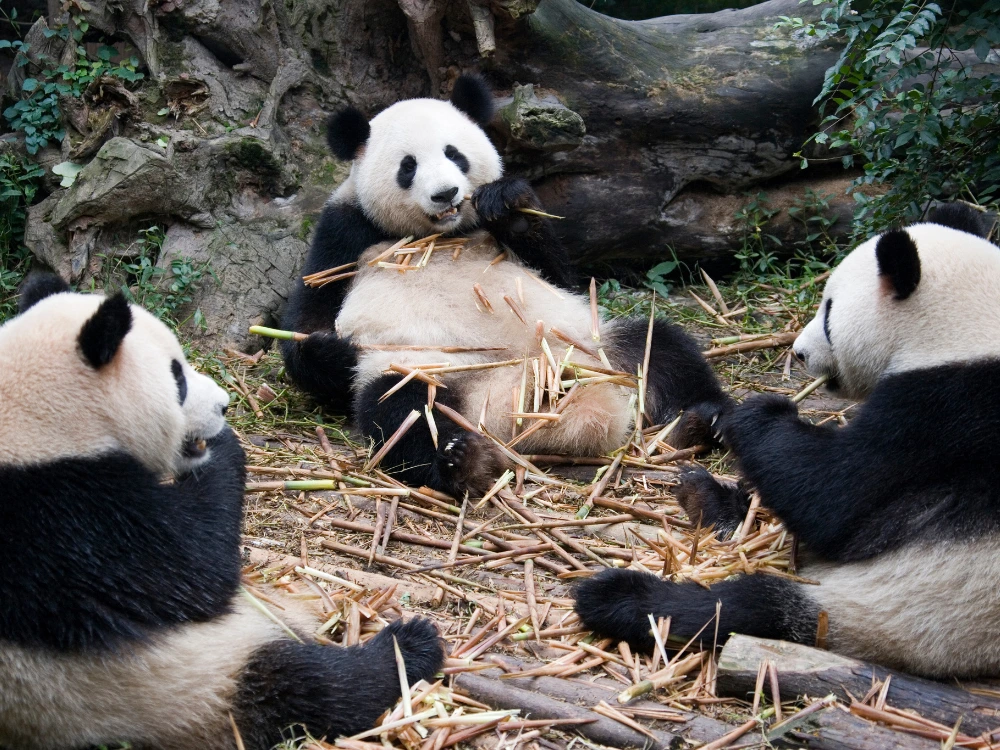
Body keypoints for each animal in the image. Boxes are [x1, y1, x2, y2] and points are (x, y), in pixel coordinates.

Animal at [0, 274, 443, 750]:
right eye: (176, 376)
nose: (225, 404)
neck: (38, 422)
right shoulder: (63, 520)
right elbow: (191, 570)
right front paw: (224, 447)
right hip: (180, 686)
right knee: (308, 688)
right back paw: (408, 647)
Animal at [280, 74, 728, 496]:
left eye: (454, 154)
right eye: (408, 166)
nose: (446, 194)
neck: (443, 235)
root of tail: (519, 404)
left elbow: (560, 274)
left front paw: (509, 206)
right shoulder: (345, 232)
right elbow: (310, 312)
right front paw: (332, 349)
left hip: (593, 346)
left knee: (661, 348)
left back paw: (701, 421)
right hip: (423, 371)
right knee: (402, 412)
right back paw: (462, 460)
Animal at [573, 203, 1000, 678]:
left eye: (829, 313)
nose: (798, 352)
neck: (964, 327)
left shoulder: (942, 407)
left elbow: (832, 497)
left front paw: (759, 413)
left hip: (906, 604)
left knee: (737, 608)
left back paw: (619, 597)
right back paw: (706, 496)